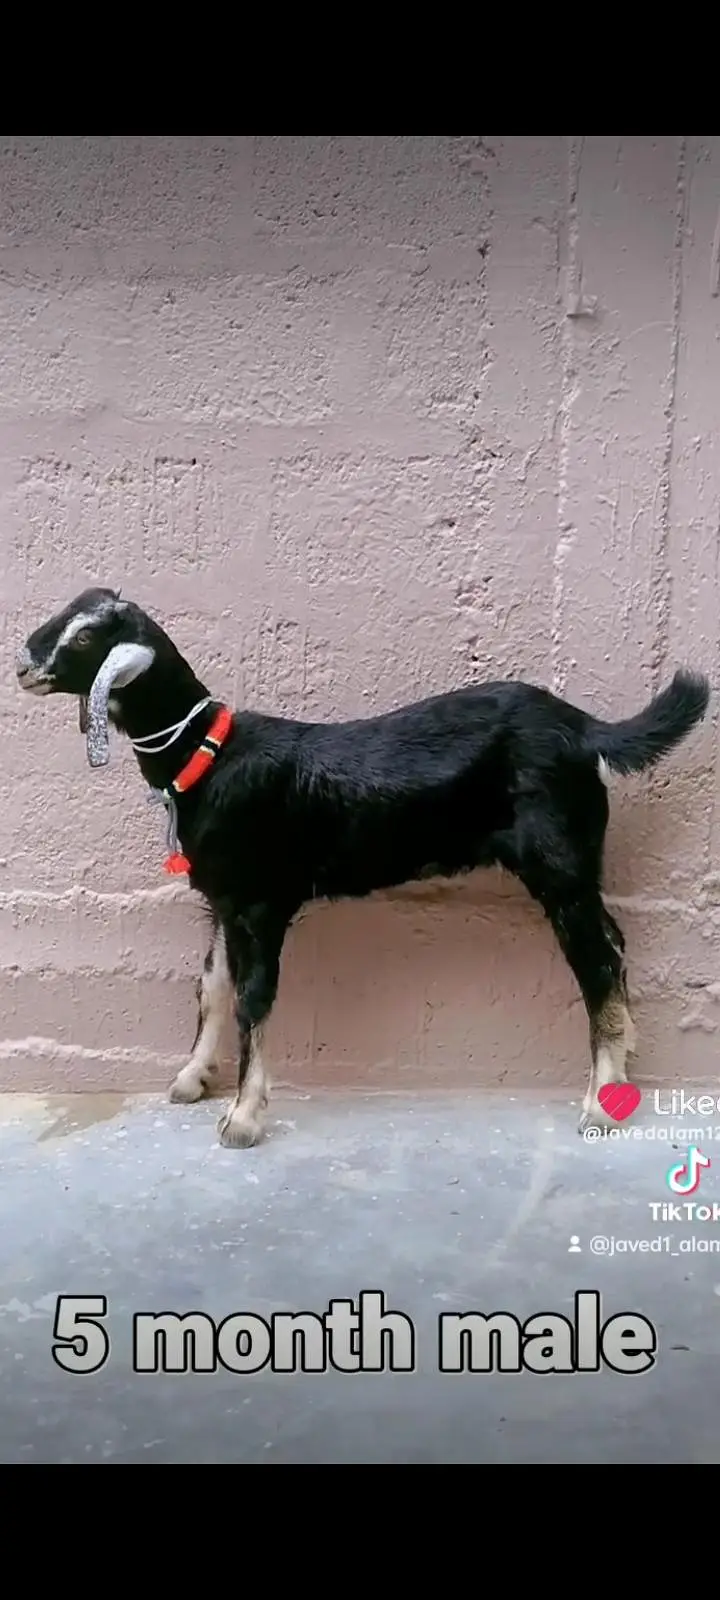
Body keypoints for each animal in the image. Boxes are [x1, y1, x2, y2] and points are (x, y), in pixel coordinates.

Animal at [16, 586, 711, 1150]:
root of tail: (585, 729)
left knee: (597, 963)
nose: (23, 666)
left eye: (86, 636)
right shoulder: (222, 899)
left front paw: (242, 1117)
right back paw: (620, 1069)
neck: (208, 755)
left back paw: (600, 1103)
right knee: (614, 944)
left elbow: (252, 998)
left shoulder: (261, 902)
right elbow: (211, 986)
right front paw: (191, 1079)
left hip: (557, 862)